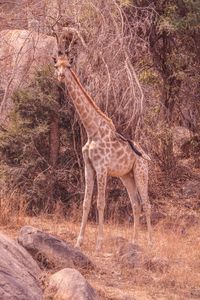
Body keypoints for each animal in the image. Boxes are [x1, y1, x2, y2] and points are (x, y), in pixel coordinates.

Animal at [53, 51, 152, 251]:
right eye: (56, 65)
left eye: (68, 66)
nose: (60, 76)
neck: (92, 131)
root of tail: (146, 155)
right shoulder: (88, 167)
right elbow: (85, 203)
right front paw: (78, 241)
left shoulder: (102, 168)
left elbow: (99, 203)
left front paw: (99, 244)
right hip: (127, 176)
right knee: (136, 204)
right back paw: (134, 242)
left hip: (141, 172)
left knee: (147, 204)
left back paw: (150, 243)